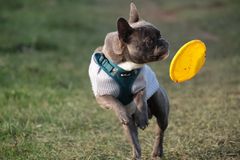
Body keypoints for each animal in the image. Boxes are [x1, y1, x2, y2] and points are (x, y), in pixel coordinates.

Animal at [88, 2, 169, 160]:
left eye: (160, 35)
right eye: (149, 41)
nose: (163, 41)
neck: (125, 68)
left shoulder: (141, 86)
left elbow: (140, 99)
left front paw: (142, 117)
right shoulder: (102, 95)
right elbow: (114, 101)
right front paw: (122, 113)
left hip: (161, 108)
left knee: (160, 131)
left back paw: (157, 151)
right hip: (129, 126)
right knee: (134, 139)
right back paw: (136, 155)